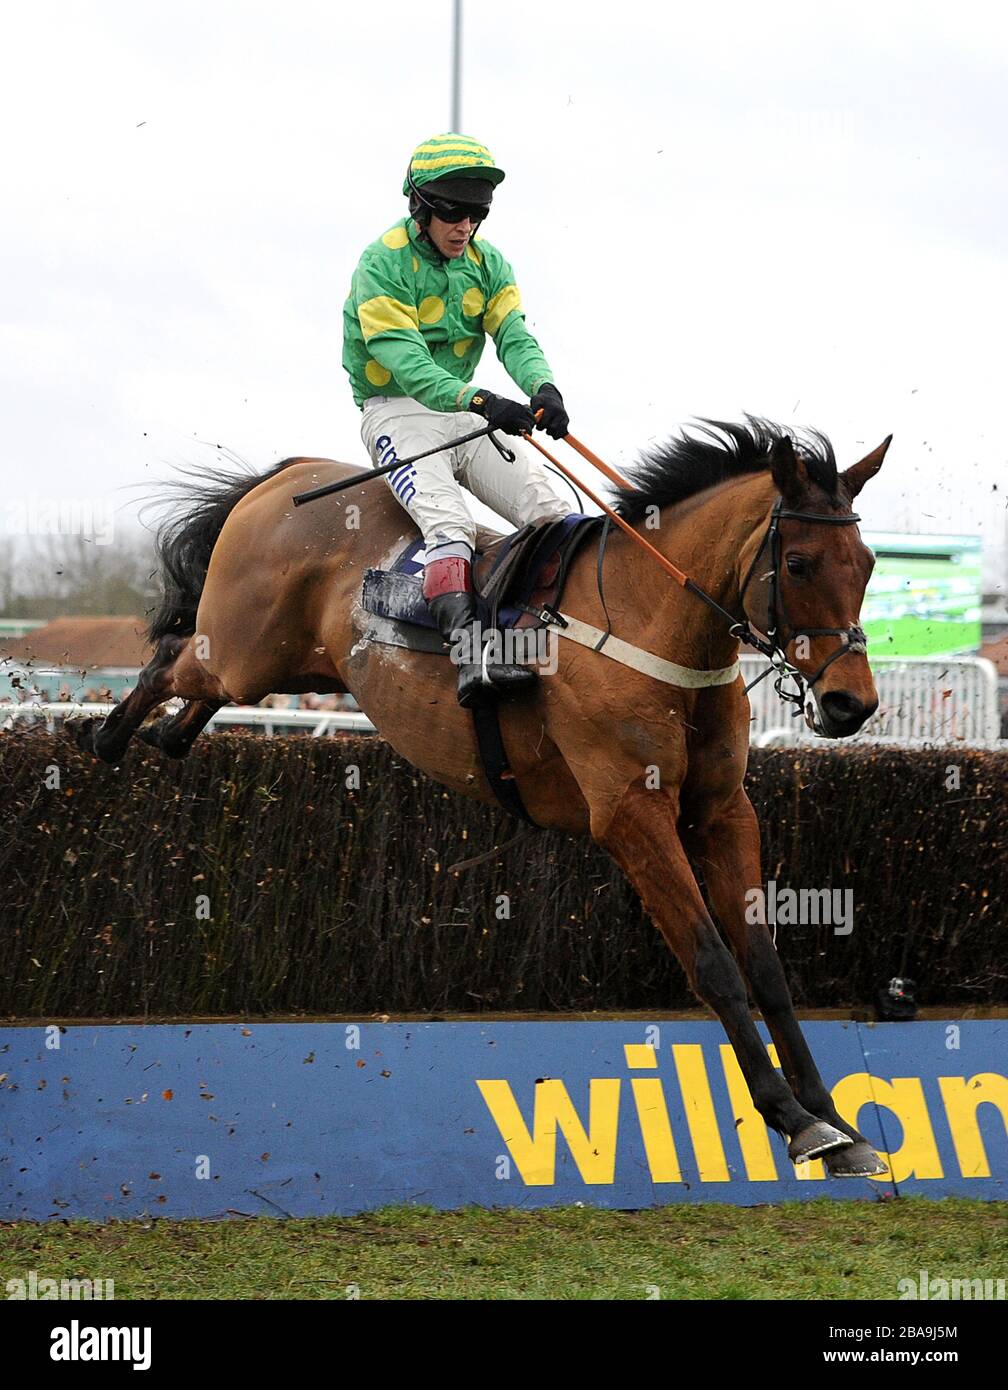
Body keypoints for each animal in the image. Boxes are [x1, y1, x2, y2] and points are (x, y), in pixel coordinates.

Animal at [76, 419, 889, 1173]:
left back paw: (167, 737)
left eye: (868, 564)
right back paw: (110, 736)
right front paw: (792, 1118)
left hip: (294, 666)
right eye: (798, 562)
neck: (650, 621)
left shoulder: (723, 811)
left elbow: (765, 963)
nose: (851, 704)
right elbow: (715, 964)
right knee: (172, 656)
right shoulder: (630, 813)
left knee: (192, 685)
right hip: (244, 652)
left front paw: (835, 1120)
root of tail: (290, 475)